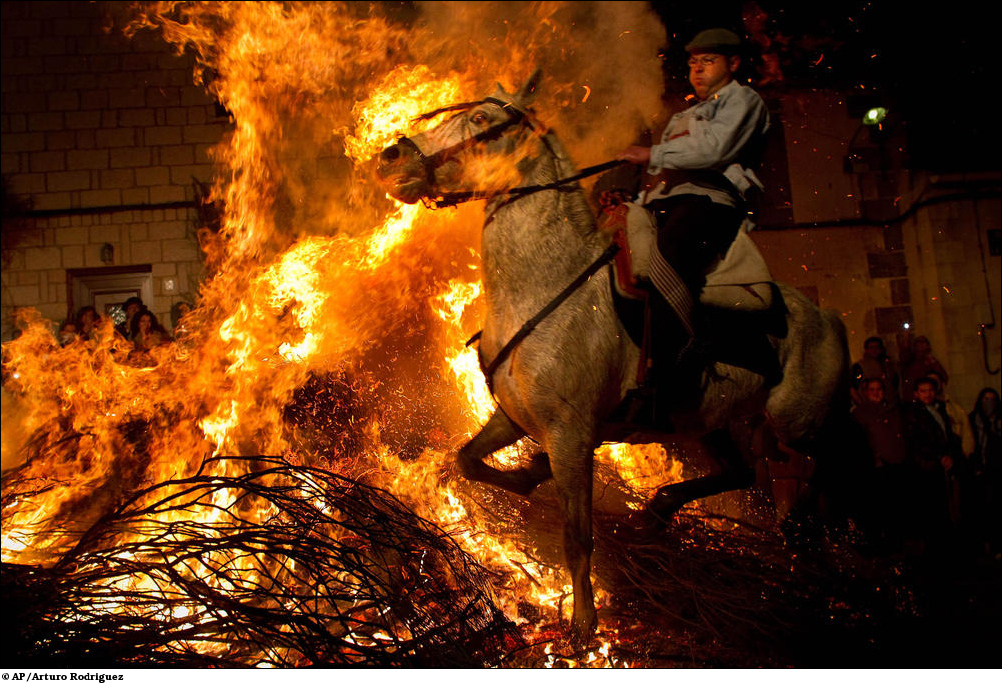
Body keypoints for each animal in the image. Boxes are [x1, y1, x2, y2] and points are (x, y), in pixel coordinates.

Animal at [376, 71, 845, 636]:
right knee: (742, 473)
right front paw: (527, 475)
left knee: (833, 462)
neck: (545, 285)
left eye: (482, 119)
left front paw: (583, 625)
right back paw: (660, 510)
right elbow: (467, 460)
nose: (393, 157)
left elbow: (578, 539)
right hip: (710, 422)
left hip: (799, 424)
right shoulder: (515, 417)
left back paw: (807, 532)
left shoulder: (571, 436)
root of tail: (825, 316)